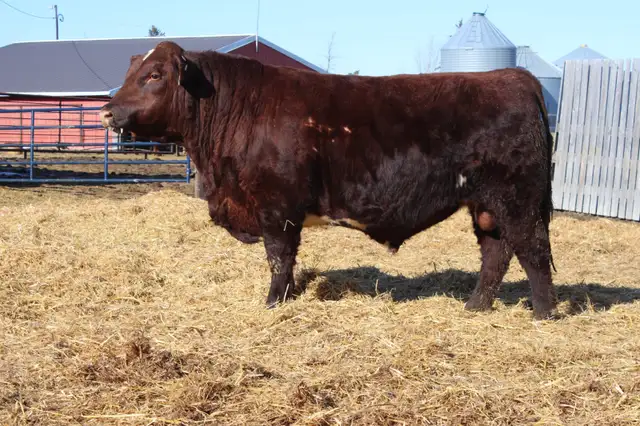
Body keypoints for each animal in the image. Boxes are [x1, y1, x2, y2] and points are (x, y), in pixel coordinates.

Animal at [100, 41, 558, 320]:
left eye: (155, 75)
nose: (107, 110)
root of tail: (510, 76)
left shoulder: (277, 207)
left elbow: (279, 258)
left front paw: (274, 303)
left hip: (517, 199)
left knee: (533, 251)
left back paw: (543, 314)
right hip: (486, 205)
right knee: (496, 253)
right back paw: (475, 307)